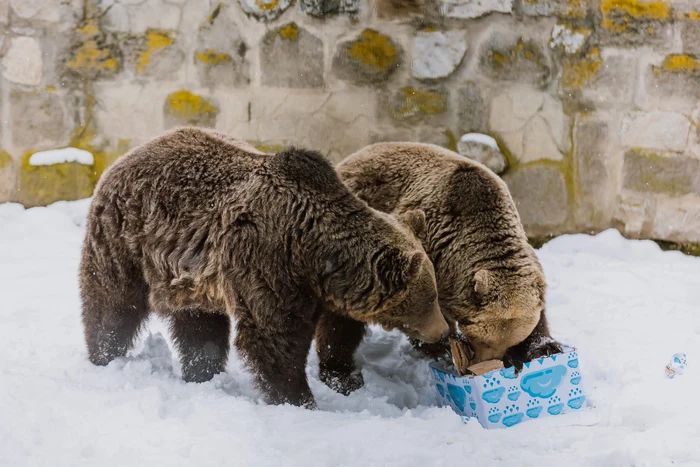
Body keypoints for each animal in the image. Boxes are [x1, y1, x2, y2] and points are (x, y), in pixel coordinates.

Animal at [78, 129, 448, 410]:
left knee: (199, 325)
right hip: (125, 240)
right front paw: (299, 400)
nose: (444, 332)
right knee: (112, 303)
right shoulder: (267, 262)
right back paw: (105, 355)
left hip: (188, 276)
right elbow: (273, 337)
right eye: (431, 298)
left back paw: (202, 372)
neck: (315, 255)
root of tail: (124, 157)